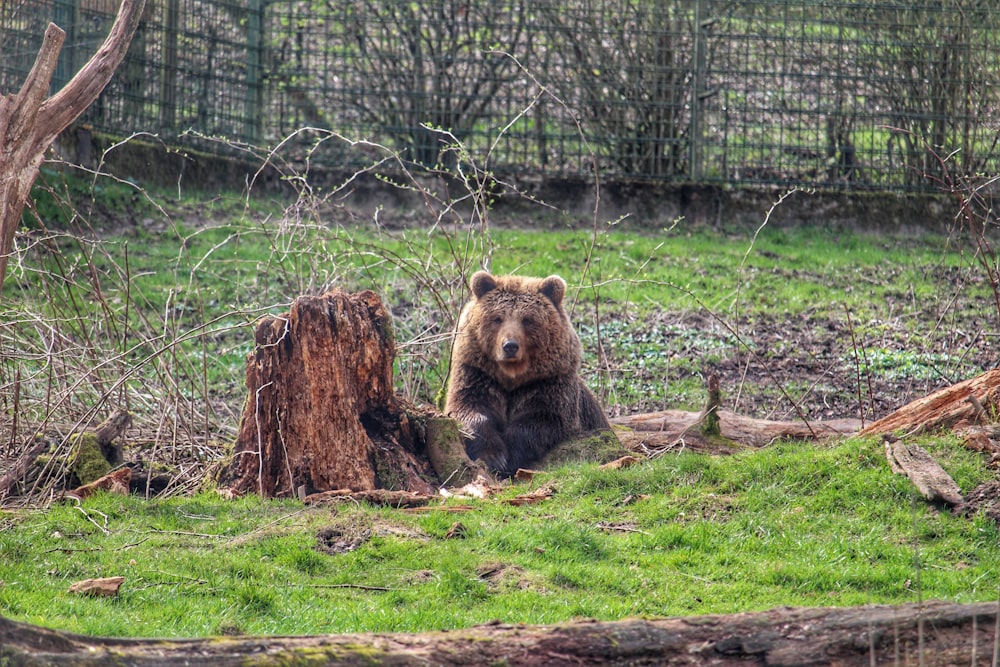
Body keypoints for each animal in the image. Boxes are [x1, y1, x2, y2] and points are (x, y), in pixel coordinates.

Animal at [446, 268, 608, 478]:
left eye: (527, 319)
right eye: (497, 318)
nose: (510, 346)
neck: (511, 377)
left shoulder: (547, 384)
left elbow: (545, 419)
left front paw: (509, 457)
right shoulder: (477, 375)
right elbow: (466, 408)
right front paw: (494, 456)